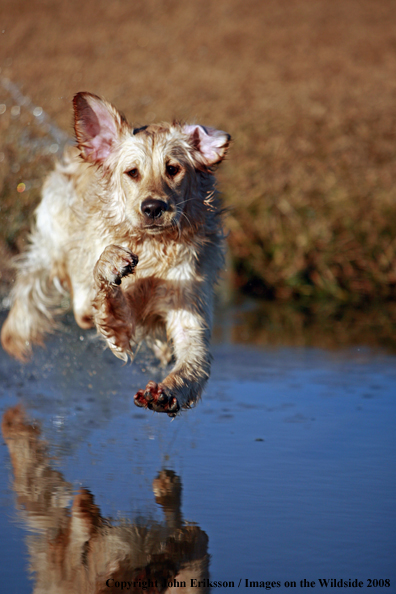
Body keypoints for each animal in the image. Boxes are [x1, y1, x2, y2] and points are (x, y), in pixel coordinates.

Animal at [0, 93, 229, 416]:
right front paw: (111, 263)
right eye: (132, 172)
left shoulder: (190, 307)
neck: (153, 250)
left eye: (173, 169)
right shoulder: (115, 312)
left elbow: (194, 363)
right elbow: (109, 301)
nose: (153, 207)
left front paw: (166, 392)